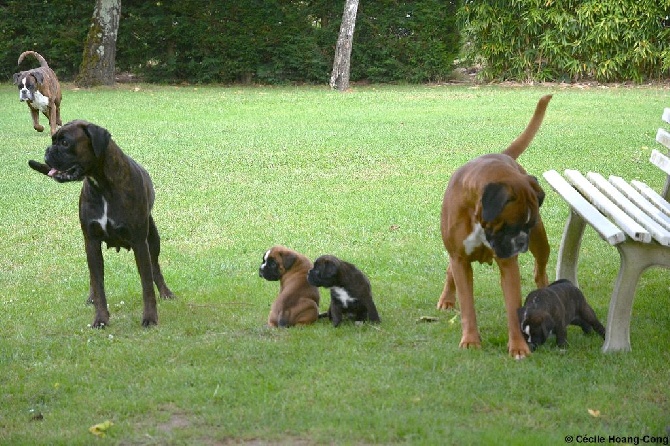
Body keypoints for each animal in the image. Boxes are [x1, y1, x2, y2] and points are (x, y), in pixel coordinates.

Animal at [438, 95, 552, 358]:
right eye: (508, 226)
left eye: (528, 225)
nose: (521, 242)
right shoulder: (460, 260)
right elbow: (467, 305)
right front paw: (471, 340)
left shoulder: (508, 264)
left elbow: (513, 307)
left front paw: (519, 346)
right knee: (450, 272)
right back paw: (447, 298)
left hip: (541, 243)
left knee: (540, 270)